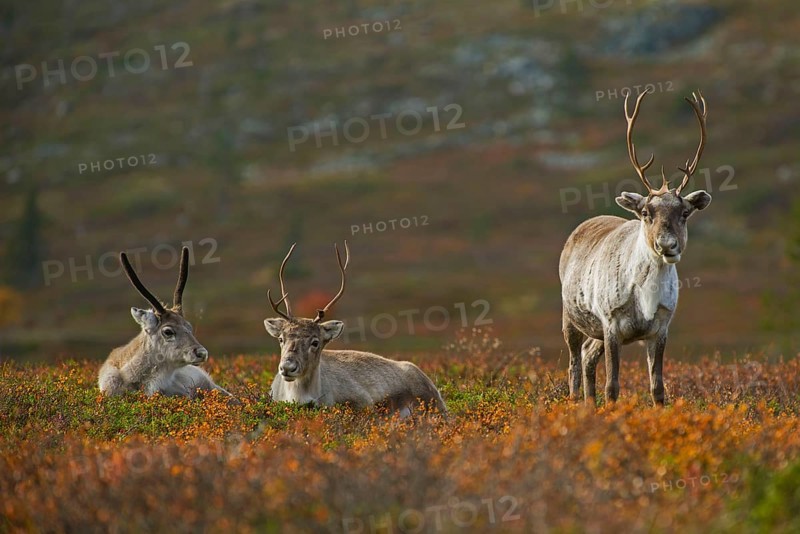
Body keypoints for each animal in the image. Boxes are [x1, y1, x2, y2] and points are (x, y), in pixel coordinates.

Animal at [559, 89, 712, 407]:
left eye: (685, 213)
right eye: (645, 212)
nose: (667, 245)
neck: (645, 296)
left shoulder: (660, 329)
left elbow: (658, 388)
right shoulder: (611, 324)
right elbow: (613, 386)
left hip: (596, 333)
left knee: (588, 356)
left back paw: (589, 407)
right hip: (572, 318)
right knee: (574, 364)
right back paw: (576, 403)